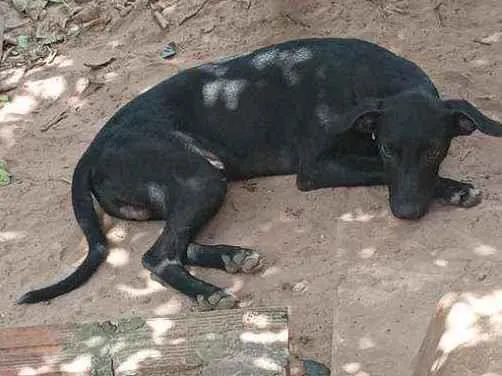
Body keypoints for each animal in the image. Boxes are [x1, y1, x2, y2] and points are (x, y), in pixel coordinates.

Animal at [17, 37, 502, 308]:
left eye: (436, 149)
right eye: (386, 148)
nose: (406, 213)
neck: (376, 82)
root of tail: (93, 149)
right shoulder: (317, 168)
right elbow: (375, 172)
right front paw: (453, 187)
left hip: (203, 183)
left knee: (179, 243)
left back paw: (232, 257)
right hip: (199, 178)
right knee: (158, 255)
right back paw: (205, 290)